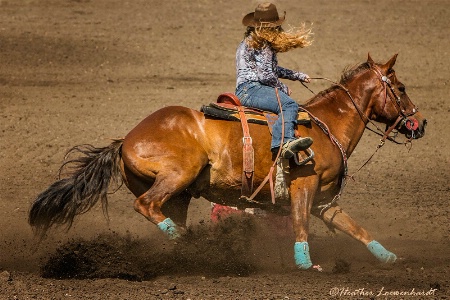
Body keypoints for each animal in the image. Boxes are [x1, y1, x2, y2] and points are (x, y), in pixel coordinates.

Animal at [29, 54, 428, 270]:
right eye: (401, 88)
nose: (420, 123)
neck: (323, 125)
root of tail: (125, 139)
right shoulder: (303, 187)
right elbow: (300, 225)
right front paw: (305, 264)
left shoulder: (325, 201)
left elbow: (356, 229)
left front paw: (390, 258)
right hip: (176, 177)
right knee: (145, 205)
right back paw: (187, 241)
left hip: (180, 195)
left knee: (163, 212)